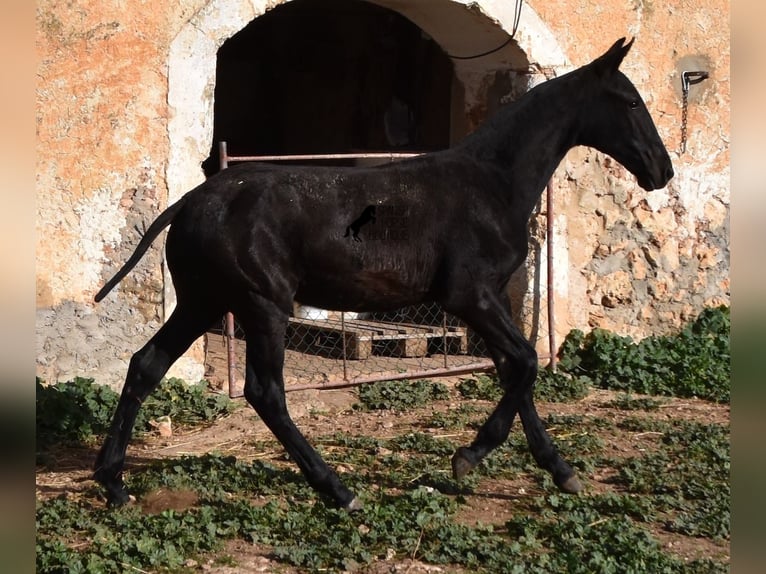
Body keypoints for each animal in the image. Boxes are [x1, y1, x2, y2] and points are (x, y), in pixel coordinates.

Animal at [94, 38, 672, 510]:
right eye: (630, 102)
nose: (662, 170)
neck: (491, 183)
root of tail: (191, 202)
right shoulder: (470, 296)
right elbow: (527, 362)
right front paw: (469, 456)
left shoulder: (491, 300)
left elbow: (516, 370)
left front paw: (559, 470)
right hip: (262, 304)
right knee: (265, 392)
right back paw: (338, 489)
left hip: (204, 302)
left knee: (146, 366)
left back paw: (114, 483)